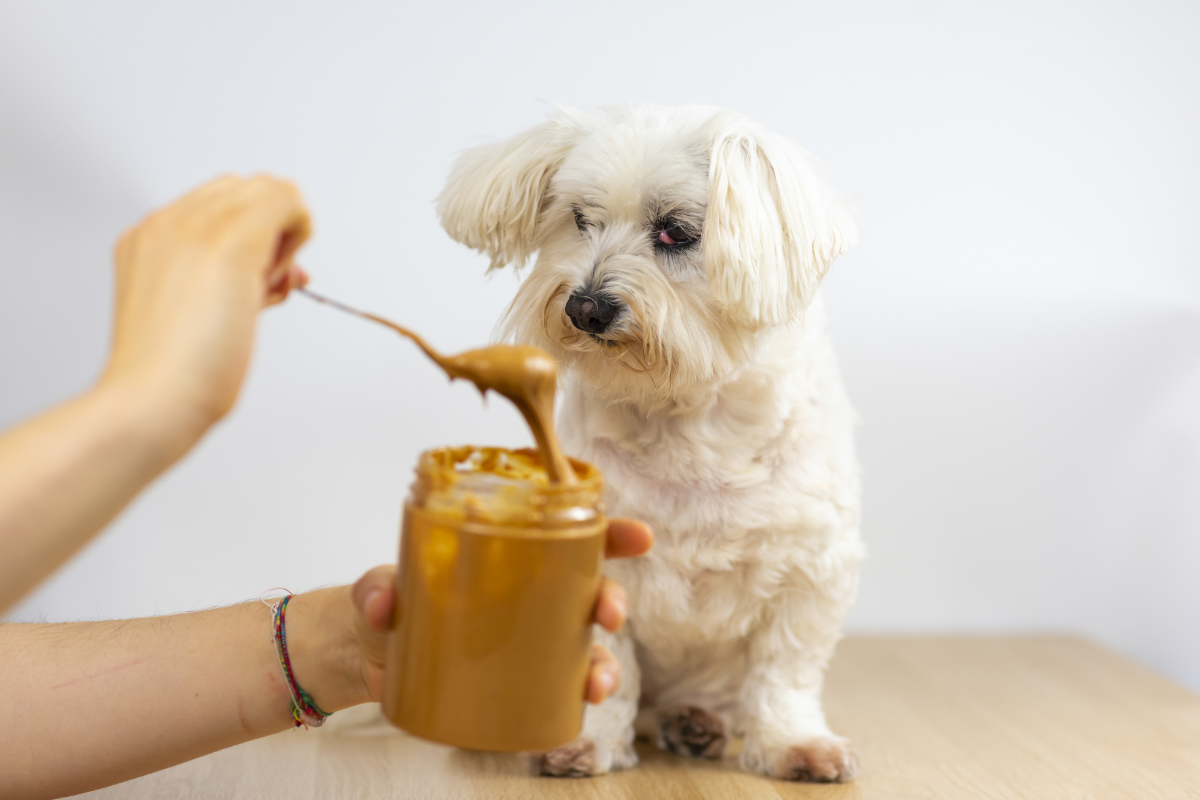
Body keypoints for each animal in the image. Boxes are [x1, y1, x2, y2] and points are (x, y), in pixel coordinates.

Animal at [439, 104, 864, 782]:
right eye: (580, 218)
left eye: (676, 232)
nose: (585, 307)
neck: (684, 414)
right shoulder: (597, 564)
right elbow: (608, 669)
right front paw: (589, 742)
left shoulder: (811, 569)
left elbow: (784, 674)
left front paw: (793, 743)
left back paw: (697, 723)